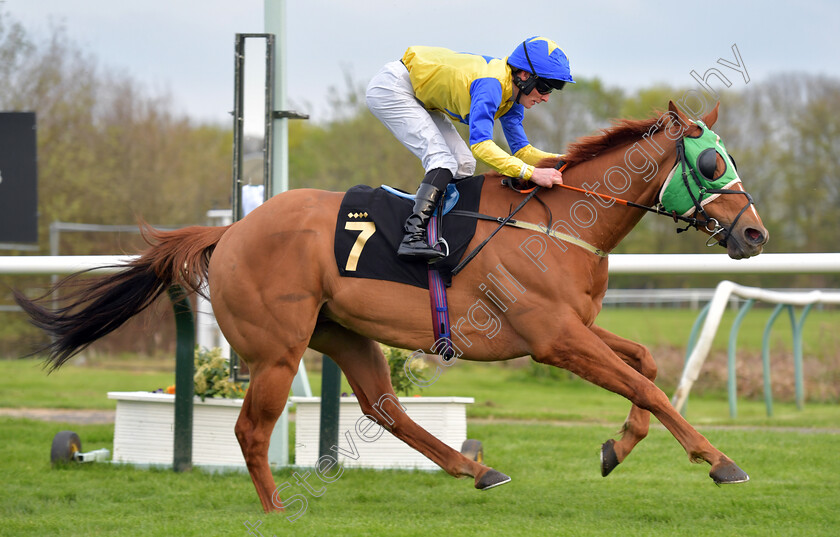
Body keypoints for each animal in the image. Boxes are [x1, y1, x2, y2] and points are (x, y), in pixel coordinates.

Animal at [18, 101, 768, 510]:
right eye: (711, 163)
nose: (755, 233)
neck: (559, 222)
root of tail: (231, 231)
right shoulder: (552, 337)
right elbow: (648, 381)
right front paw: (719, 459)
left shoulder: (574, 328)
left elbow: (644, 365)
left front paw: (617, 446)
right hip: (277, 348)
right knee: (252, 432)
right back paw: (277, 509)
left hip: (345, 332)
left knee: (385, 407)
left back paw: (476, 468)